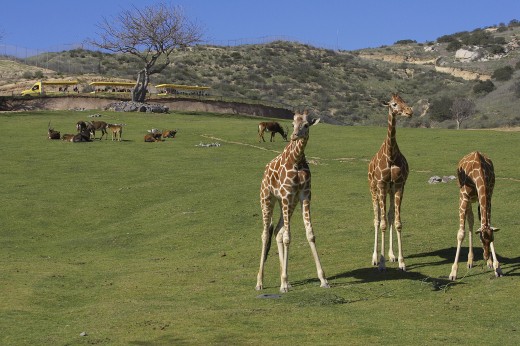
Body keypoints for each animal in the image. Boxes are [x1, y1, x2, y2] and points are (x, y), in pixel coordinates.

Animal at [256, 110, 330, 292]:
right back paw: (260, 282)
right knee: (266, 234)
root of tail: (265, 171)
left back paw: (286, 280)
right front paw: (283, 284)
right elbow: (288, 237)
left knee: (277, 231)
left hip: (290, 203)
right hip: (268, 198)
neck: (296, 159)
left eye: (306, 125)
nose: (295, 135)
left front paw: (323, 279)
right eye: (292, 123)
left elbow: (310, 234)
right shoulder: (286, 194)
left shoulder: (304, 195)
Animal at [448, 151, 502, 282]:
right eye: (481, 240)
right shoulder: (463, 197)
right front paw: (453, 273)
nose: (485, 256)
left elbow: (488, 224)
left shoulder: (489, 196)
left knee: (475, 219)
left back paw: (486, 262)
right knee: (471, 220)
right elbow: (461, 234)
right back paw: (470, 261)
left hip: (476, 199)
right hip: (467, 200)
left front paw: (496, 267)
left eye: (492, 239)